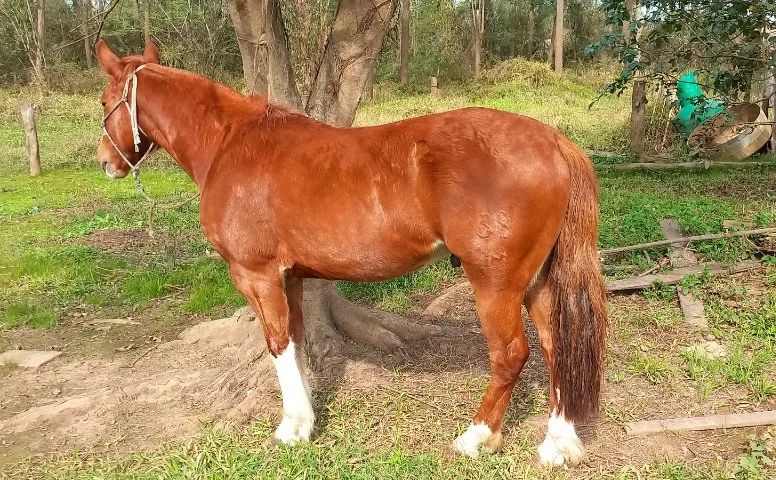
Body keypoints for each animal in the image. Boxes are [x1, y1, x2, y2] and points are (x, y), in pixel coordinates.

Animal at [94, 40, 607, 466]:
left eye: (103, 101)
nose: (105, 162)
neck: (229, 144)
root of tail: (554, 141)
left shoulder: (257, 275)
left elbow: (277, 344)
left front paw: (292, 429)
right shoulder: (291, 277)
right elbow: (296, 342)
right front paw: (306, 419)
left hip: (494, 283)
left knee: (511, 354)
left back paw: (477, 437)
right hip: (537, 279)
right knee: (555, 345)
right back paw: (559, 444)